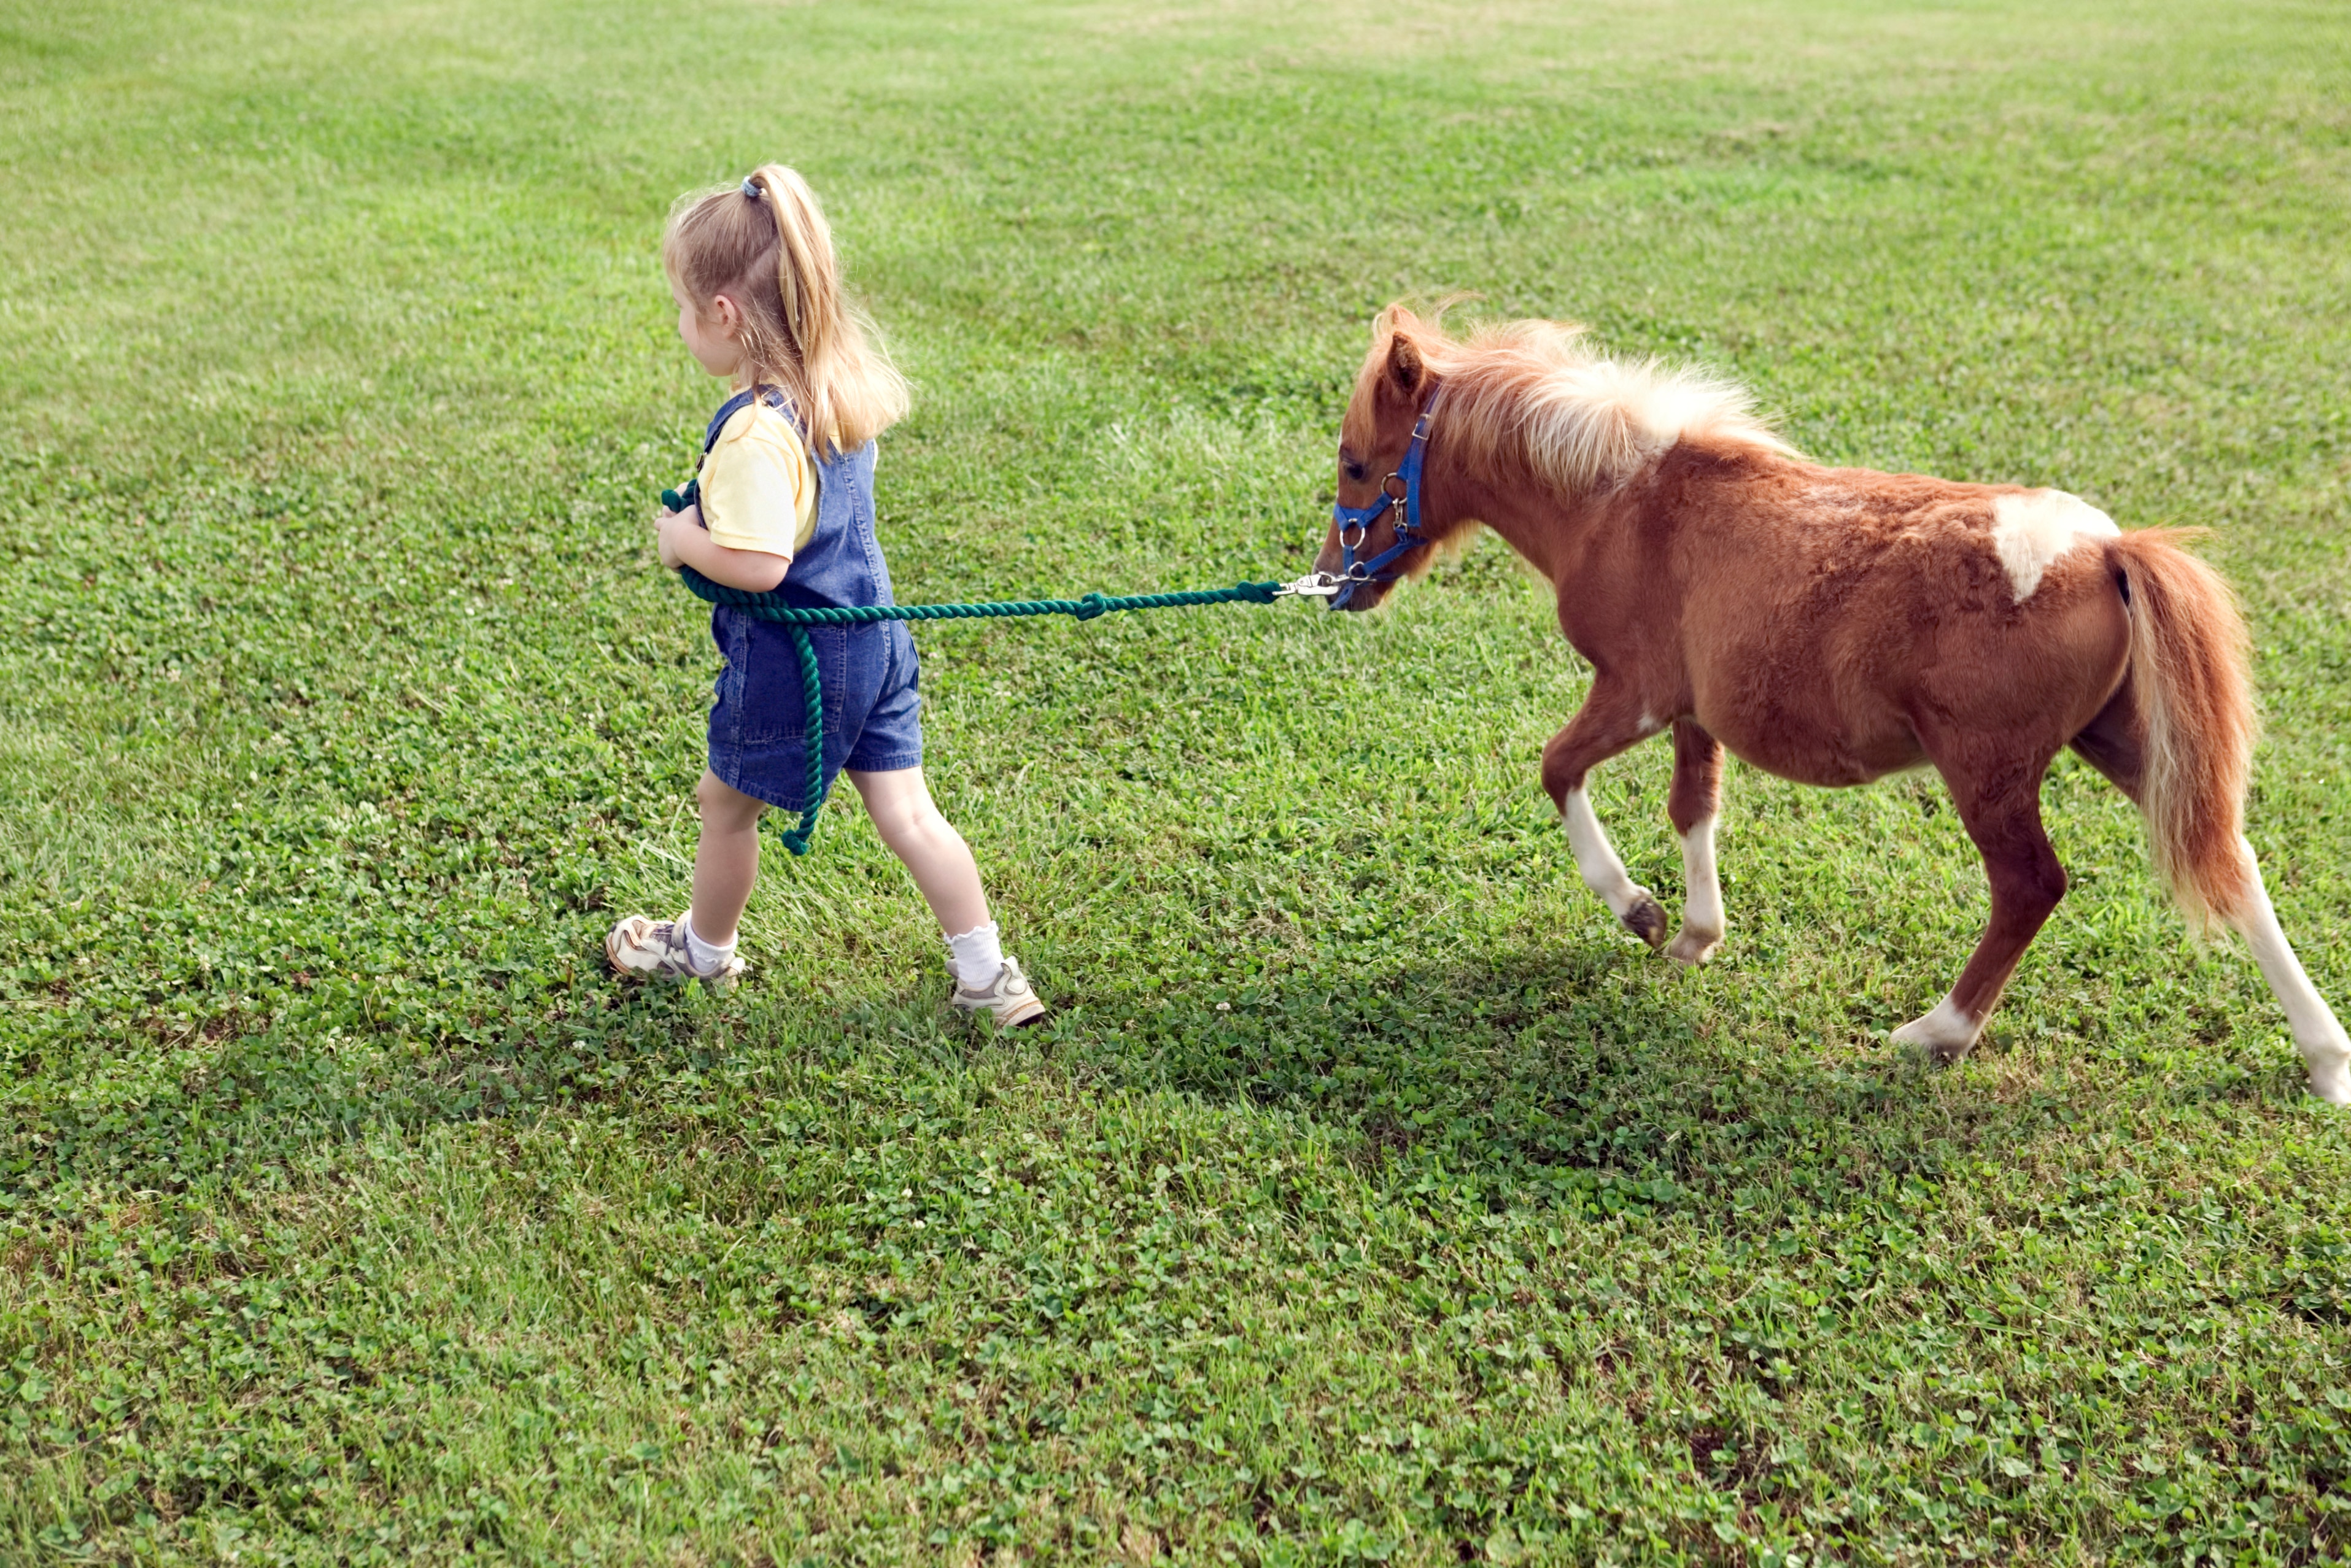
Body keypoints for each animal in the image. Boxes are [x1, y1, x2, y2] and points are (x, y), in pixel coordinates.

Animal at [1326, 305, 2351, 1105]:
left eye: (1354, 465)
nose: (1335, 581)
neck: (1621, 500)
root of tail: (2106, 549)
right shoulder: (1694, 710)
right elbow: (1692, 806)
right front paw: (1695, 933)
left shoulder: (1633, 693)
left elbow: (1557, 768)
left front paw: (1639, 911)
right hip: (2122, 742)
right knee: (2229, 857)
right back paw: (2324, 1055)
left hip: (1987, 769)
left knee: (2031, 886)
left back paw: (1937, 1032)